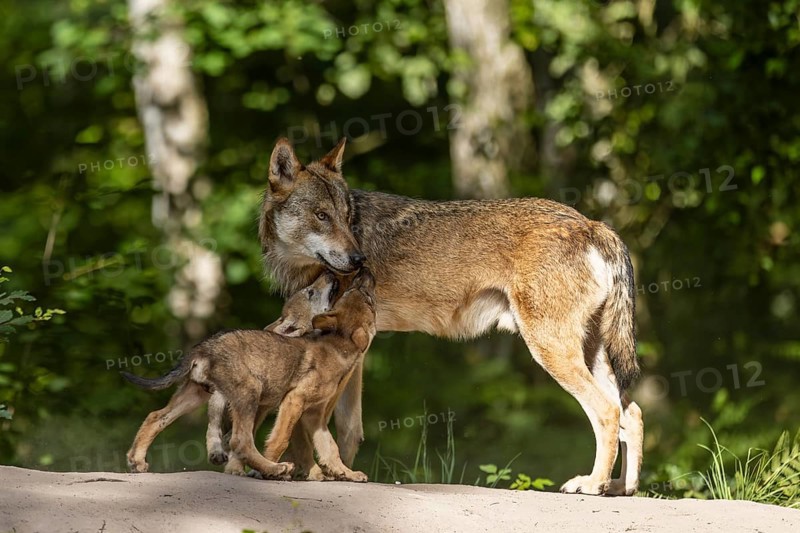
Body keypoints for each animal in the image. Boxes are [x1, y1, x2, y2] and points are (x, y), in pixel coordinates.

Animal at [258, 138, 643, 496]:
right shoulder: (355, 351)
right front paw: (344, 475)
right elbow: (349, 427)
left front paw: (315, 472)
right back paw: (622, 487)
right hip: (590, 354)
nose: (358, 261)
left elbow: (319, 421)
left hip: (551, 351)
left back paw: (592, 484)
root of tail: (593, 225)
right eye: (322, 216)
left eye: (346, 217)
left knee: (608, 411)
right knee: (632, 412)